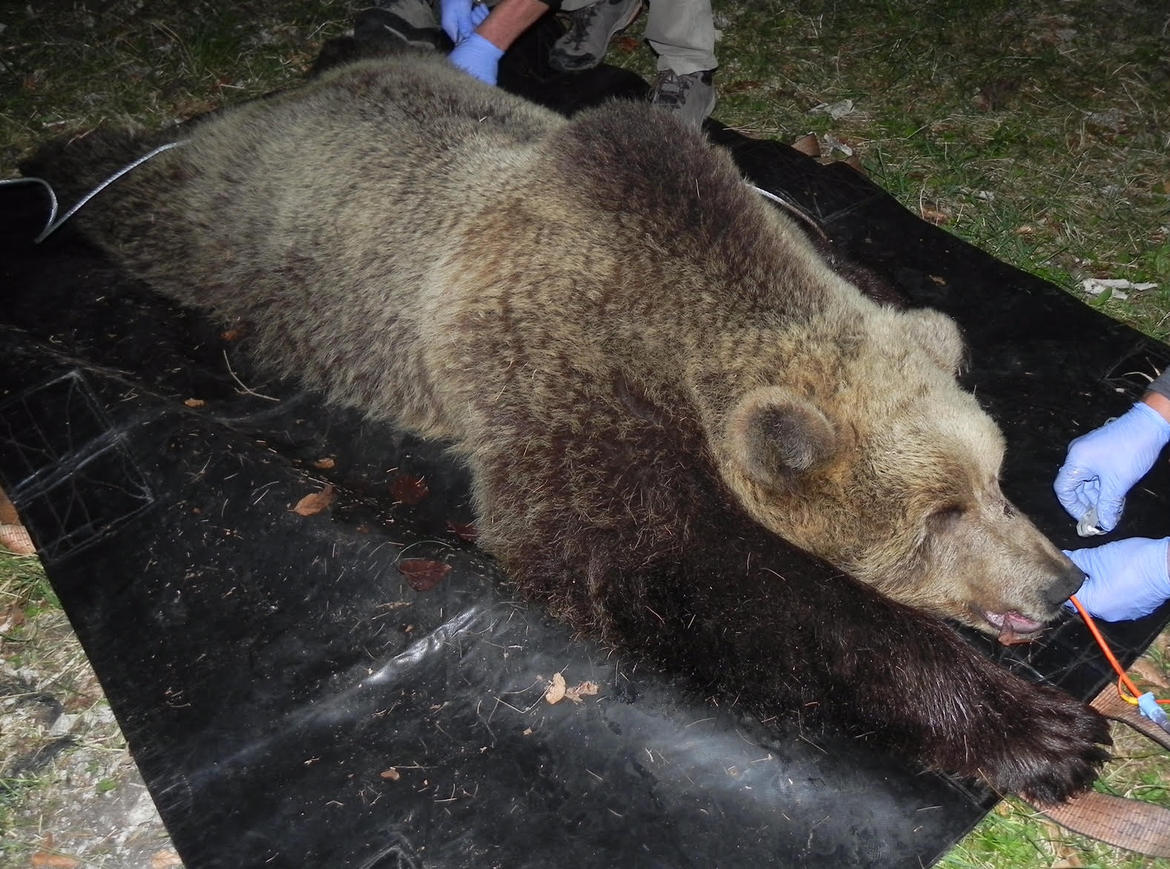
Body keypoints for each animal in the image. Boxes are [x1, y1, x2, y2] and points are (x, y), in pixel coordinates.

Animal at [45, 53, 1108, 803]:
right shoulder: (560, 364)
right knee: (144, 194)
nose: (1060, 582)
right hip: (231, 225)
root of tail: (293, 91)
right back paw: (66, 161)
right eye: (939, 514)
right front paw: (1043, 732)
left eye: (996, 477)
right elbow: (654, 560)